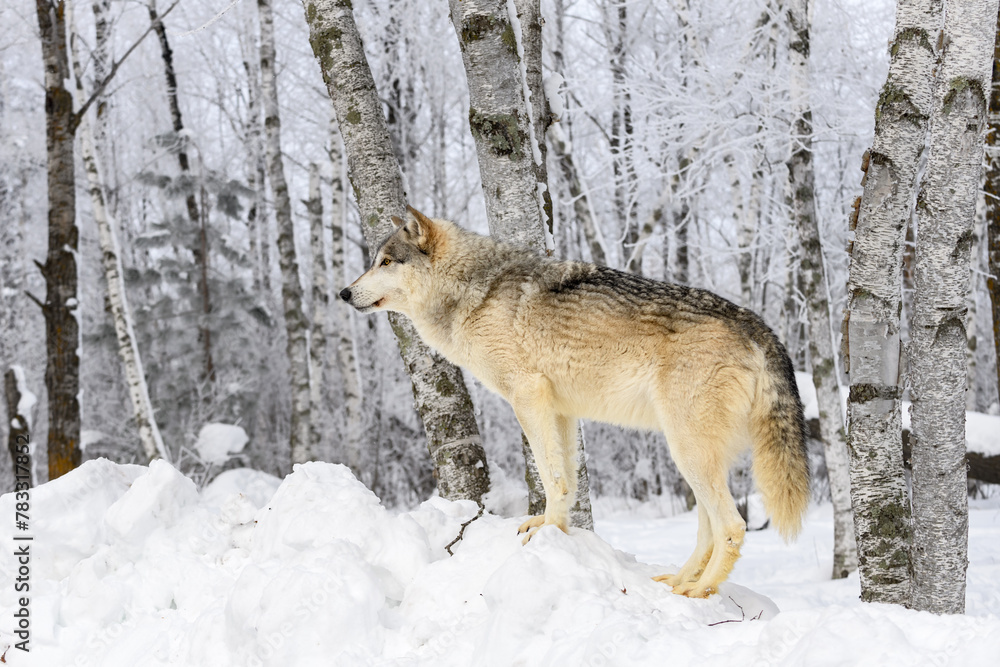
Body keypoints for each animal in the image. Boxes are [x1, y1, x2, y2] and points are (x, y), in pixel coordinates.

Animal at [340, 206, 808, 596]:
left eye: (385, 262)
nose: (344, 293)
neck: (475, 291)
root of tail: (755, 322)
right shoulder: (560, 410)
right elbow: (565, 478)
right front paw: (557, 532)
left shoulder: (527, 397)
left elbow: (552, 478)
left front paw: (545, 531)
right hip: (693, 457)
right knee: (708, 529)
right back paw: (678, 581)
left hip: (687, 452)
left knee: (733, 526)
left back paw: (698, 592)